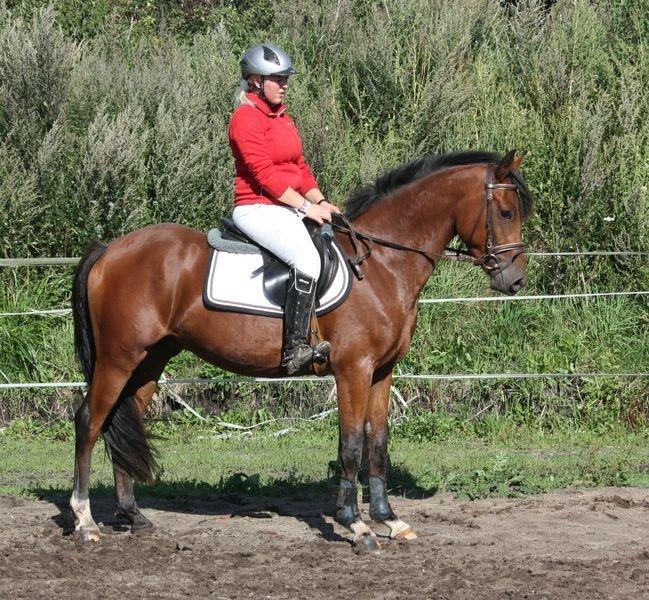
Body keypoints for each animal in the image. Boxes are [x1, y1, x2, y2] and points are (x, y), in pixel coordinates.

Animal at [68, 149, 532, 548]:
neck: (382, 265)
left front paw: (389, 519)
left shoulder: (382, 372)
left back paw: (132, 515)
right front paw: (356, 525)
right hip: (118, 358)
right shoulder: (353, 370)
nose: (515, 281)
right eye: (506, 212)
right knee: (90, 421)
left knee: (122, 419)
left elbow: (378, 443)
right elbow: (351, 445)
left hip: (151, 360)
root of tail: (110, 249)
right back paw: (85, 520)